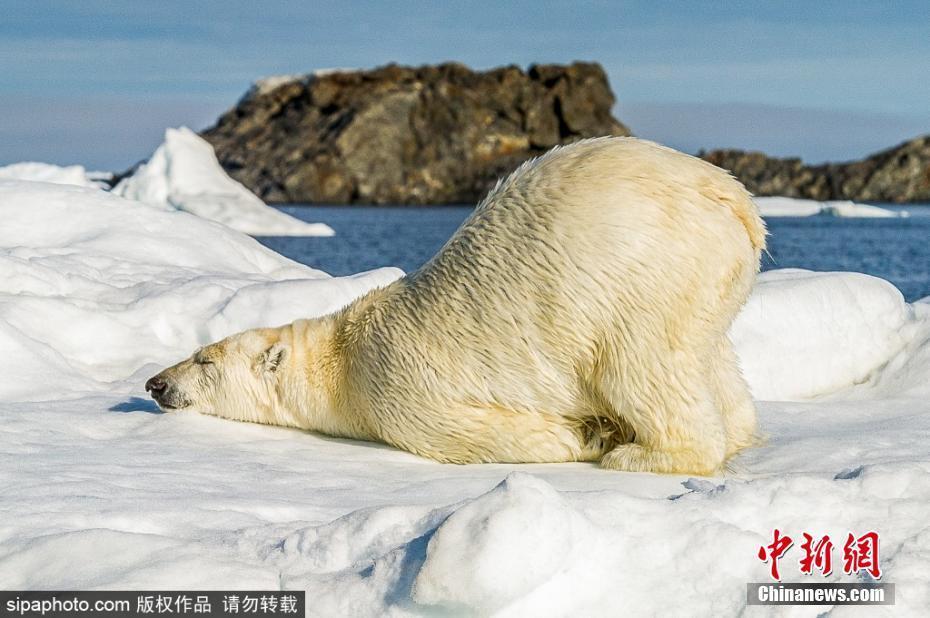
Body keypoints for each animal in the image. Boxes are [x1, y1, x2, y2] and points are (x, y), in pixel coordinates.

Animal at [145, 137, 760, 472]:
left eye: (203, 358)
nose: (154, 383)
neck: (342, 356)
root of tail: (733, 200)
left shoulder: (397, 387)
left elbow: (481, 434)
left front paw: (587, 437)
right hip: (710, 283)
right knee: (715, 363)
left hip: (638, 280)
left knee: (640, 368)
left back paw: (641, 454)